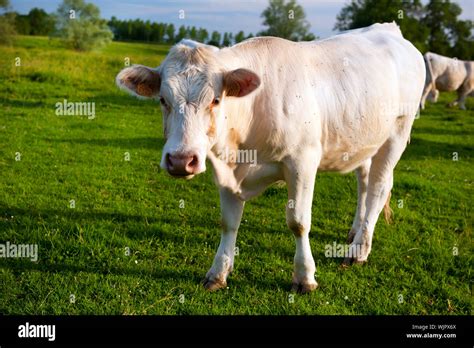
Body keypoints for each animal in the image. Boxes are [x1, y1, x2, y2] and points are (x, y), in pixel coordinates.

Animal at [115, 23, 426, 292]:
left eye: (216, 99)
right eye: (163, 100)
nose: (181, 160)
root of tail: (389, 29)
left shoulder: (302, 161)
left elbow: (298, 221)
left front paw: (305, 277)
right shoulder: (226, 171)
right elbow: (228, 222)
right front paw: (218, 272)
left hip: (397, 133)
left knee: (378, 188)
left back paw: (359, 249)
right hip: (363, 140)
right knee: (364, 181)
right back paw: (355, 231)